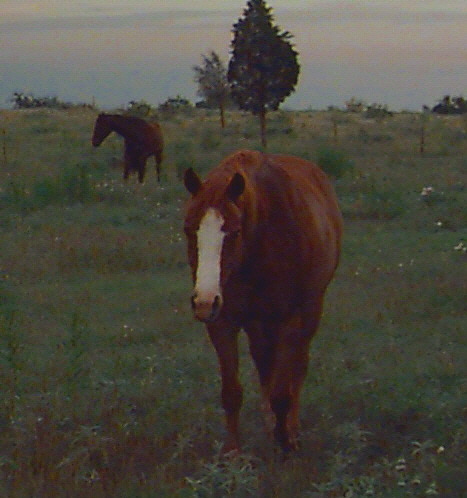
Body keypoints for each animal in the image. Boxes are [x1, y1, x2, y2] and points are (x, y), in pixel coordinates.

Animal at [184, 150, 344, 454]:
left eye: (234, 232)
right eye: (189, 230)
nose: (204, 301)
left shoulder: (290, 318)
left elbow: (282, 392)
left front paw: (286, 443)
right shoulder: (223, 321)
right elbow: (232, 392)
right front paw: (233, 454)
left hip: (310, 311)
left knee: (297, 368)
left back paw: (290, 428)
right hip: (258, 323)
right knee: (264, 364)